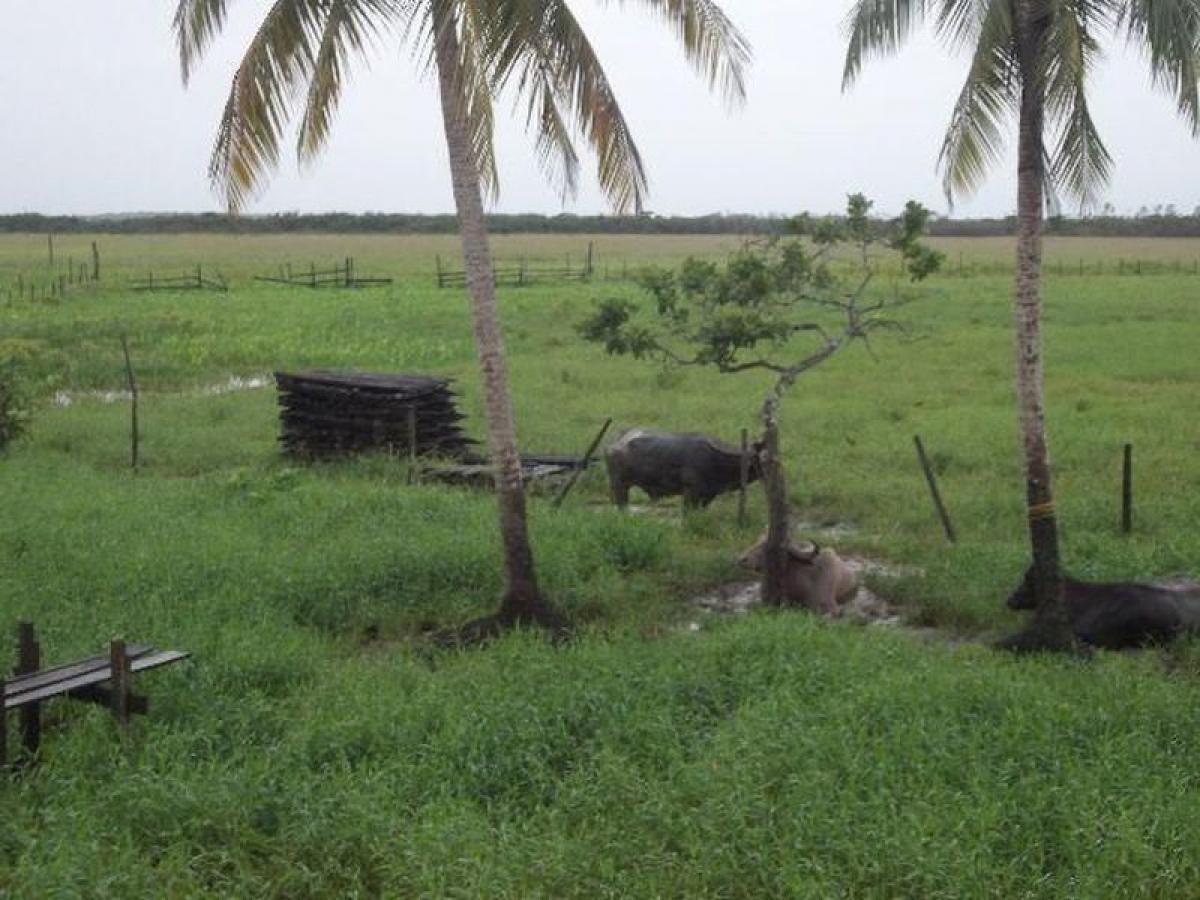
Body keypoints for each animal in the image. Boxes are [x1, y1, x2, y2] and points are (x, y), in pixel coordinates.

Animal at [604, 427, 763, 511]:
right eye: (760, 457)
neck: (715, 460)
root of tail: (614, 444)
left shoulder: (708, 496)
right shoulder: (690, 492)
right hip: (619, 485)